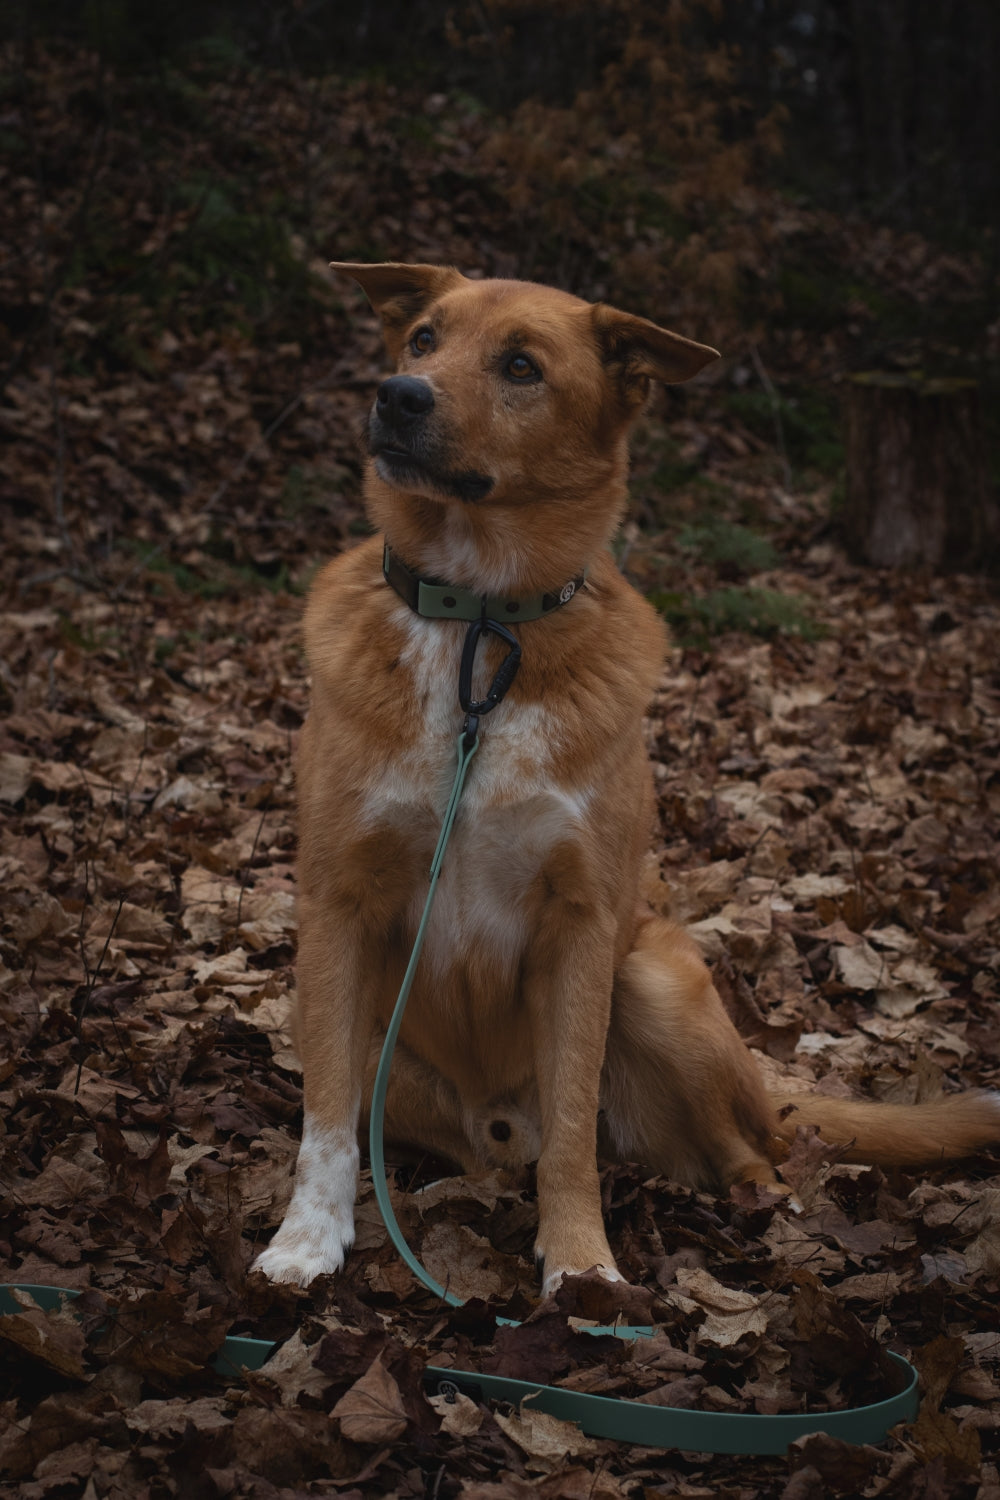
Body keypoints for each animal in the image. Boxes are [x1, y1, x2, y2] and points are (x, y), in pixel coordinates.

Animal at [254, 264, 1000, 1296]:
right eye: (421, 339)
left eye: (521, 366)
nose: (397, 395)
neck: (480, 621)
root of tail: (496, 1130)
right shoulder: (339, 906)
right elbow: (323, 1115)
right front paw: (306, 1240)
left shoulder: (581, 923)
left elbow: (573, 1126)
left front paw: (582, 1268)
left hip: (654, 978)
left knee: (749, 1150)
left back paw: (762, 1207)